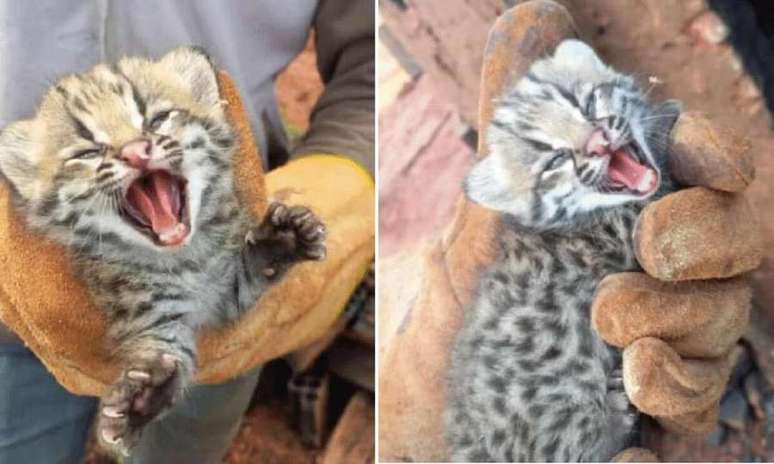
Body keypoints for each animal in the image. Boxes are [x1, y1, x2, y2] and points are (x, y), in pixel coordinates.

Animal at [0, 48, 324, 456]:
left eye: (156, 118)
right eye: (88, 151)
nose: (135, 153)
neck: (186, 256)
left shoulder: (227, 292)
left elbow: (250, 270)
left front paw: (284, 236)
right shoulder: (148, 311)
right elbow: (167, 348)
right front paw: (144, 398)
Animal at [446, 39, 684, 460]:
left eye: (587, 103)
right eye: (554, 158)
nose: (599, 143)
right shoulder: (623, 232)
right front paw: (668, 118)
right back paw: (617, 413)